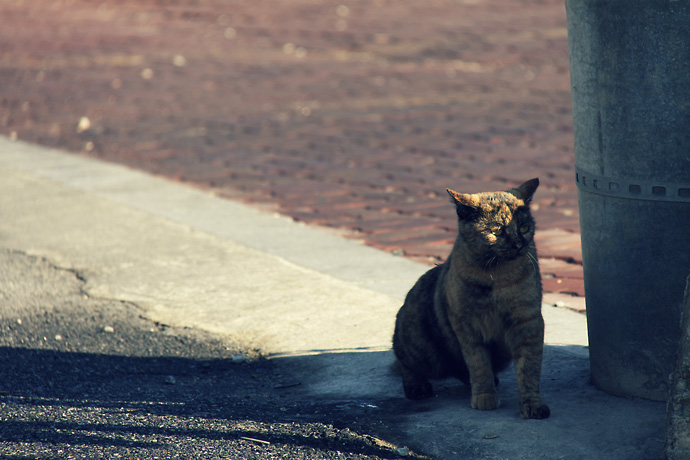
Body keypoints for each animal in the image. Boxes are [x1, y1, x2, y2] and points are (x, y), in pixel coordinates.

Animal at [392, 178, 548, 418]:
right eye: (497, 230)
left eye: (524, 227)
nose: (518, 244)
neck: (497, 278)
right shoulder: (468, 327)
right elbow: (478, 364)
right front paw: (485, 397)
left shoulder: (528, 322)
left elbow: (529, 369)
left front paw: (532, 404)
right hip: (420, 346)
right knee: (405, 363)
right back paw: (417, 387)